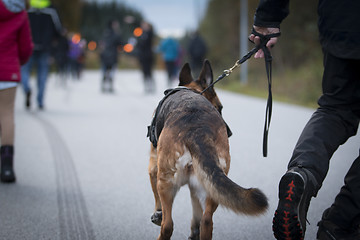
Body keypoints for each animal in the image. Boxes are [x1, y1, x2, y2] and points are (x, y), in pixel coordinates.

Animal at [148, 60, 268, 240]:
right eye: (220, 107)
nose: (230, 132)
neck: (193, 90)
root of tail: (197, 130)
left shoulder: (153, 169)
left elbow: (157, 201)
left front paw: (157, 214)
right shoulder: (195, 187)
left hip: (166, 182)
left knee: (168, 225)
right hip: (211, 188)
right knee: (206, 221)